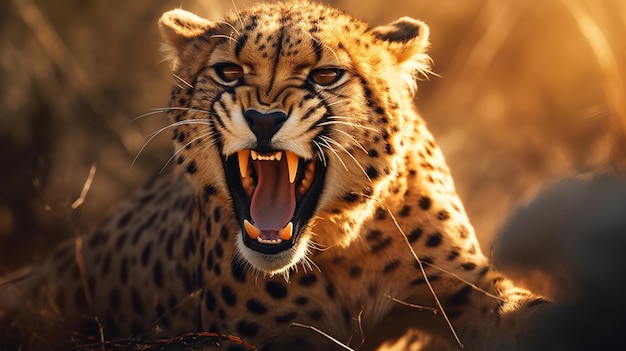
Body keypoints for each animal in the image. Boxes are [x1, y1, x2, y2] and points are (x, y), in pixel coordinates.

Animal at [2, 1, 552, 350]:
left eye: (325, 75)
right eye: (228, 72)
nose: (263, 120)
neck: (339, 244)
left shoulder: (465, 292)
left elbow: (528, 311)